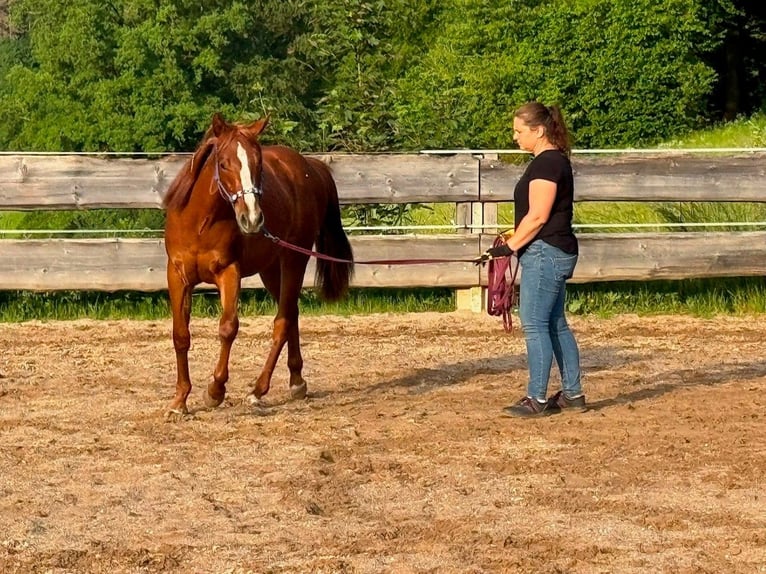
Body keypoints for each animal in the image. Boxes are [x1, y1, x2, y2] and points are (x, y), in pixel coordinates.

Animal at [162, 113, 354, 416]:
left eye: (258, 164)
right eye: (224, 163)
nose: (252, 219)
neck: (200, 223)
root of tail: (309, 167)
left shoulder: (229, 272)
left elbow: (228, 328)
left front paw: (215, 391)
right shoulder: (178, 275)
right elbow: (181, 334)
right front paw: (179, 401)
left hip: (294, 260)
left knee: (283, 321)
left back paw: (258, 390)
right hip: (270, 269)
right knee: (292, 314)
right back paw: (296, 381)